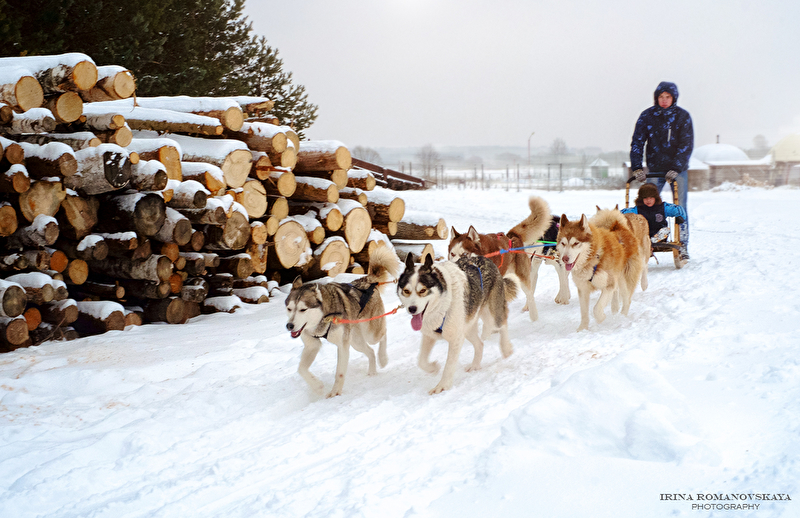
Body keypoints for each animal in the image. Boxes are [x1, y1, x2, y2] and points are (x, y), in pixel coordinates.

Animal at [285, 246, 400, 397]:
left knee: (383, 334)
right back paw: (372, 371)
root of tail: (366, 280)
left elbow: (339, 373)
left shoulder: (342, 345)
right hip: (355, 341)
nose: (289, 326)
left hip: (370, 334)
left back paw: (383, 358)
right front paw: (317, 387)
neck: (323, 318)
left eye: (303, 309)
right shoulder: (312, 345)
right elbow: (301, 369)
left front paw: (335, 392)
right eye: (289, 308)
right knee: (370, 351)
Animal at [397, 253, 517, 394]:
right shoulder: (429, 335)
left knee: (502, 324)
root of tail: (484, 258)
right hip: (467, 328)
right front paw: (433, 367)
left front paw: (442, 386)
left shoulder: (455, 339)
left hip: (491, 317)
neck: (443, 304)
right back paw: (475, 365)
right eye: (406, 291)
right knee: (480, 344)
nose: (412, 309)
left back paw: (506, 348)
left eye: (423, 290)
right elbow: (421, 361)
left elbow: (449, 365)